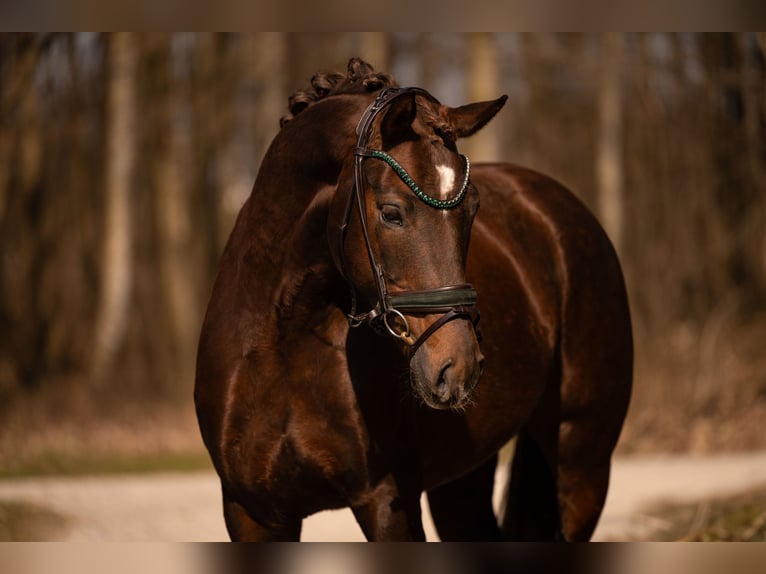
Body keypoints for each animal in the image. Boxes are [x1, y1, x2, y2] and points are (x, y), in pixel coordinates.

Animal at [194, 58, 632, 541]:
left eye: (473, 209)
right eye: (391, 212)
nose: (457, 368)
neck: (281, 344)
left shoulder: (388, 502)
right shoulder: (253, 513)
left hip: (582, 461)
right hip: (464, 480)